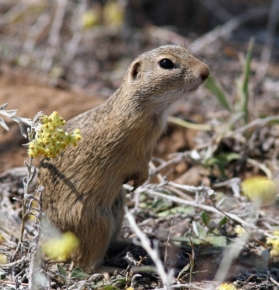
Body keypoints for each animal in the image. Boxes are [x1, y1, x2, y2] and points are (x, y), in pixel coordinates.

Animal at [39, 44, 210, 270]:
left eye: (185, 49)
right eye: (166, 63)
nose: (206, 72)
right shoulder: (131, 153)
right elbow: (138, 165)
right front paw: (139, 182)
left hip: (118, 209)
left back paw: (129, 242)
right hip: (98, 223)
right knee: (85, 263)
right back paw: (108, 268)